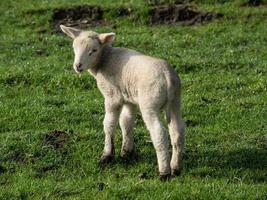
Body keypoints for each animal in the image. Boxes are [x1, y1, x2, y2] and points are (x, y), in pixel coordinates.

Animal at [60, 24, 186, 180]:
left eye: (94, 50)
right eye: (74, 47)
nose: (78, 66)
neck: (105, 60)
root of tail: (167, 76)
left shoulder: (112, 96)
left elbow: (109, 124)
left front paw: (107, 155)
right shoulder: (129, 98)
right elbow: (126, 122)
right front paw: (126, 152)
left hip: (150, 103)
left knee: (159, 132)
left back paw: (164, 172)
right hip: (175, 101)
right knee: (177, 131)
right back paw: (176, 167)